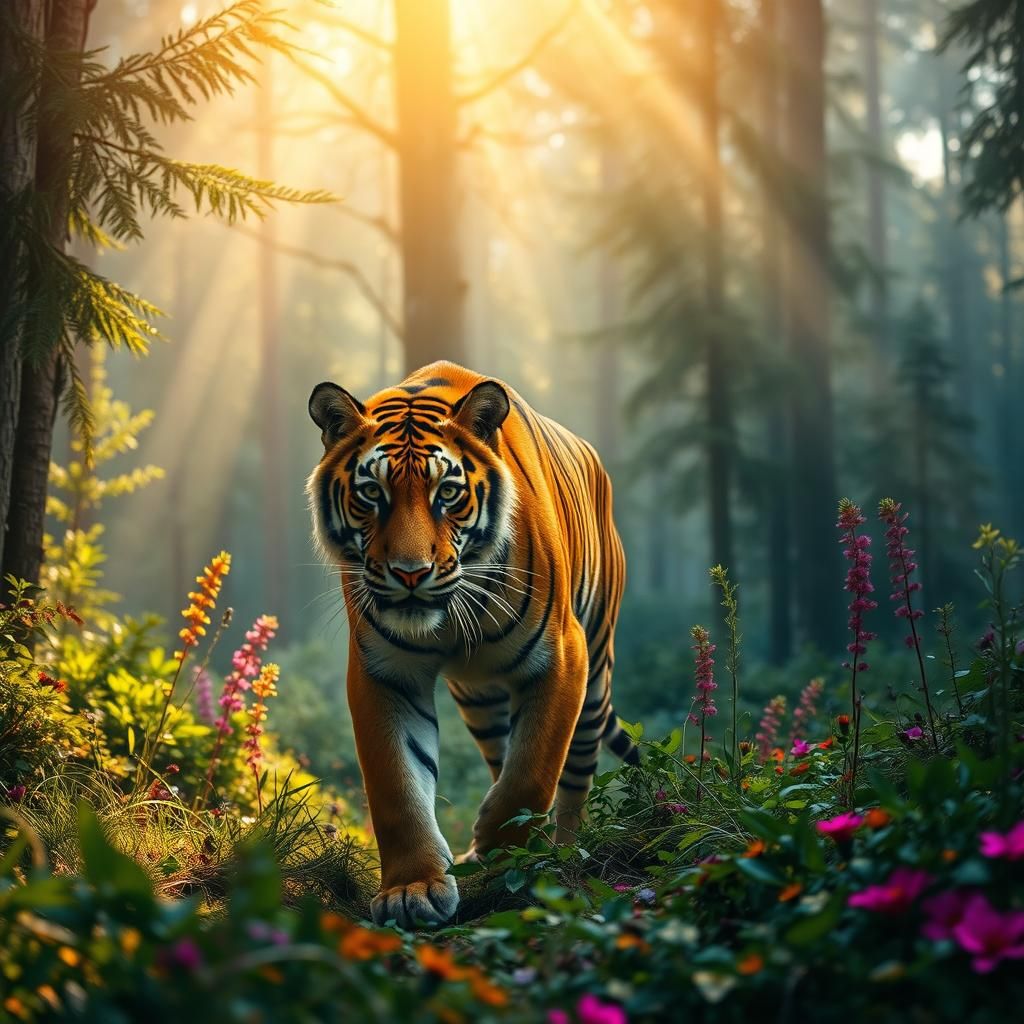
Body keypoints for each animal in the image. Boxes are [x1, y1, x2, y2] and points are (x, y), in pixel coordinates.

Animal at [307, 361, 637, 927]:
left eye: (447, 494)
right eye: (372, 494)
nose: (409, 573)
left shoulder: (561, 657)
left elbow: (533, 772)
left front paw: (507, 851)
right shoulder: (384, 673)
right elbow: (397, 785)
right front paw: (413, 888)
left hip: (595, 674)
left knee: (575, 776)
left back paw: (564, 849)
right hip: (479, 699)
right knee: (500, 752)